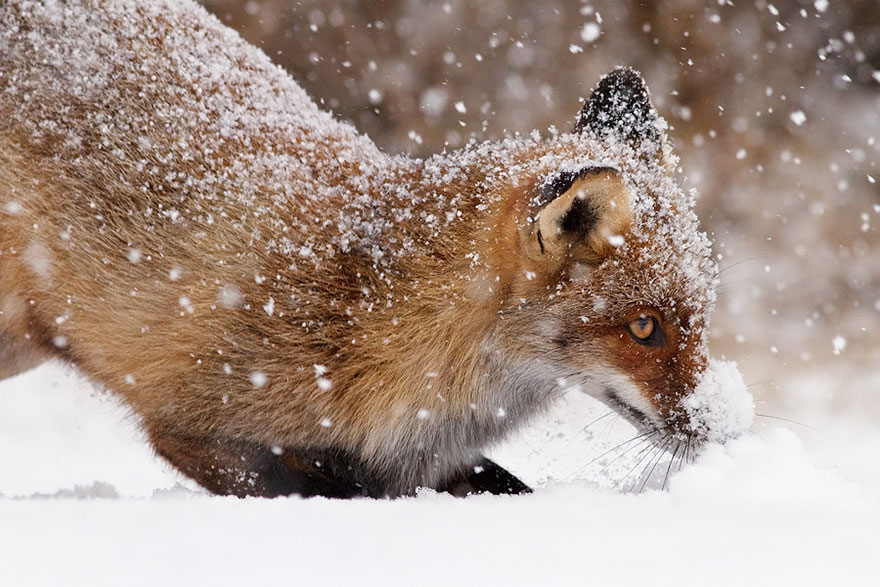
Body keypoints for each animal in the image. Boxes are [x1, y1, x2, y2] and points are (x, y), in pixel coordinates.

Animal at [0, 0, 751, 498]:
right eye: (645, 328)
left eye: (700, 319)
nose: (728, 426)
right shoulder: (199, 425)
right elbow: (324, 490)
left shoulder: (423, 461)